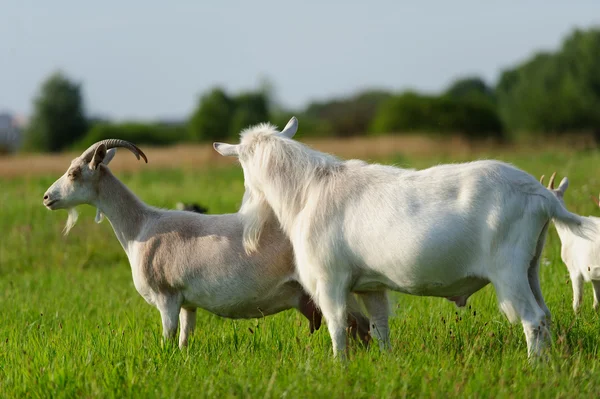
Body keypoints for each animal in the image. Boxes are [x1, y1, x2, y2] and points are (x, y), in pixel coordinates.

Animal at [42, 141, 370, 350]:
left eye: (74, 173)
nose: (46, 198)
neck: (141, 228)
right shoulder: (187, 303)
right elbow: (184, 340)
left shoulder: (167, 297)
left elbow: (167, 339)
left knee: (361, 327)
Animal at [213, 117, 596, 358]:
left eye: (242, 164)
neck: (308, 190)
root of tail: (541, 196)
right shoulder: (370, 286)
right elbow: (380, 328)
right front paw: (385, 363)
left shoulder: (330, 279)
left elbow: (337, 328)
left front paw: (339, 366)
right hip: (530, 266)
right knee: (545, 315)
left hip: (509, 270)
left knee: (532, 319)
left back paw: (535, 365)